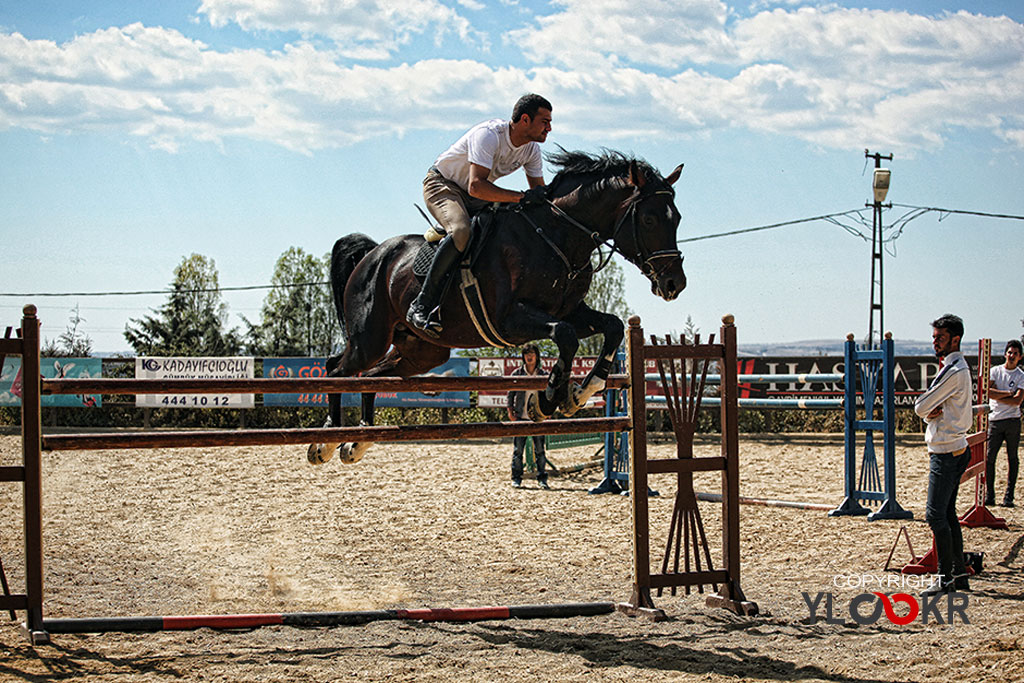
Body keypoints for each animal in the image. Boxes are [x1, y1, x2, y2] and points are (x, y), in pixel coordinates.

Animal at [307, 150, 684, 466]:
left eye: (677, 218)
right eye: (649, 220)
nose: (674, 284)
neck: (556, 236)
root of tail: (374, 253)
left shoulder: (570, 311)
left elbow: (613, 326)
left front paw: (580, 392)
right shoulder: (511, 319)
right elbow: (564, 337)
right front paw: (547, 400)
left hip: (422, 352)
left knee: (372, 375)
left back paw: (358, 441)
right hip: (370, 337)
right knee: (338, 369)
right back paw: (326, 440)